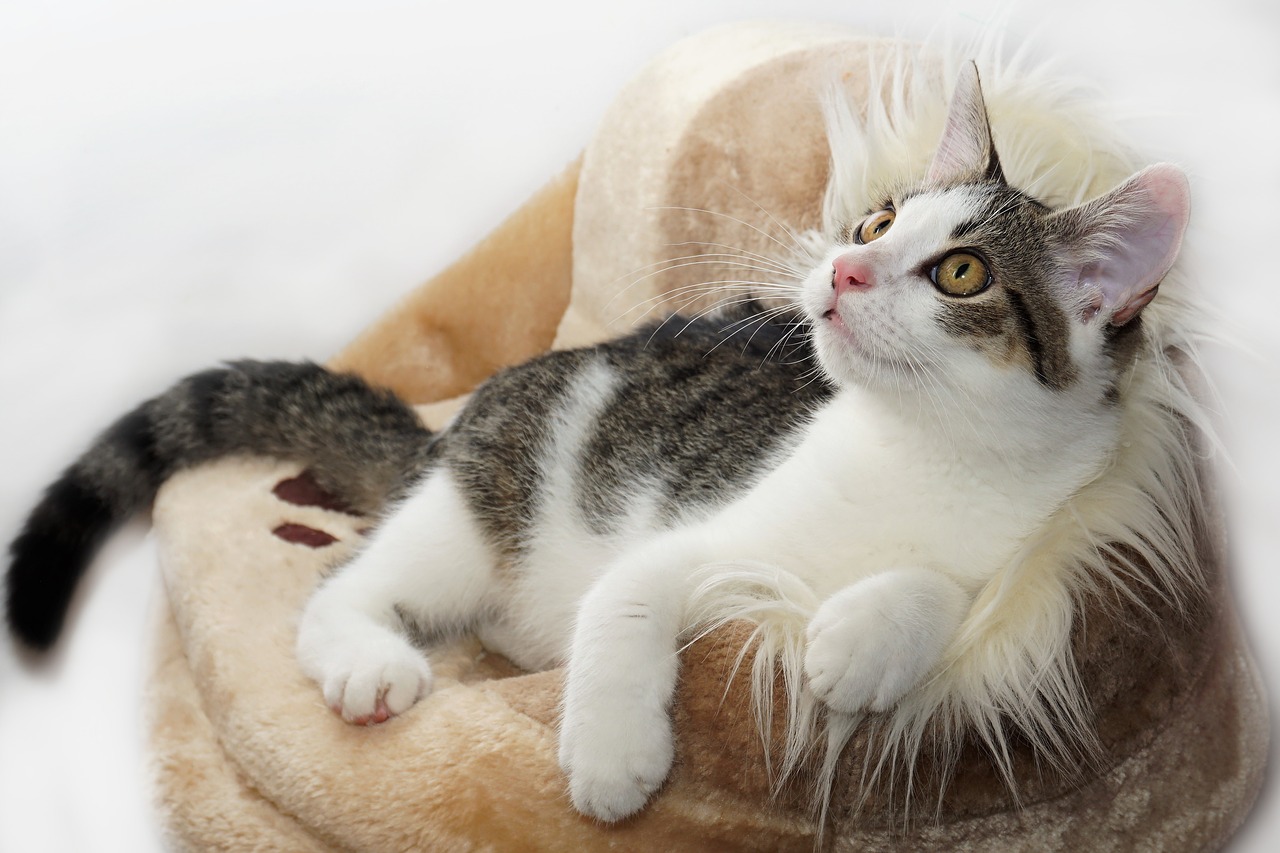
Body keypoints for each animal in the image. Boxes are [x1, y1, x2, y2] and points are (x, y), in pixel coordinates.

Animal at [5, 63, 1198, 819]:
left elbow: (947, 590)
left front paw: (861, 642)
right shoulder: (695, 536)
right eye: (874, 222)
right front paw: (617, 754)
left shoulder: (1031, 549)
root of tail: (459, 426)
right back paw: (370, 658)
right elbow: (626, 600)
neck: (919, 453)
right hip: (470, 516)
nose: (845, 269)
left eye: (959, 270)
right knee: (345, 588)